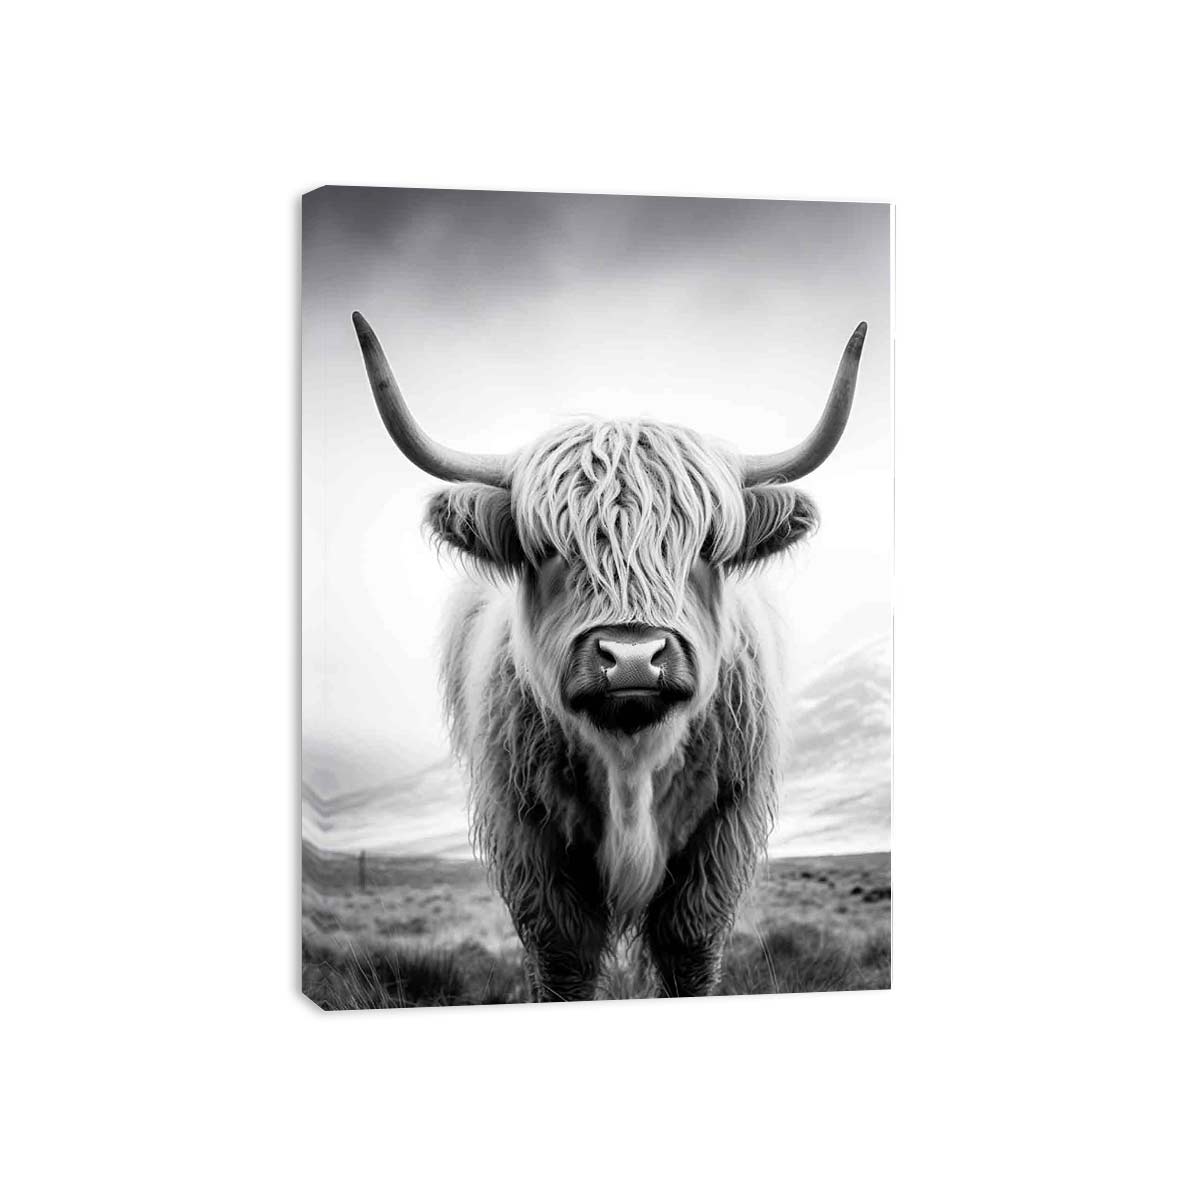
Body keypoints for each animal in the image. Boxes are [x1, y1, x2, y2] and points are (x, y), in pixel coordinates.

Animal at [352, 311, 866, 1000]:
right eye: (547, 547)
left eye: (706, 544)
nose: (632, 658)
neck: (631, 760)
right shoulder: (529, 838)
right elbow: (562, 959)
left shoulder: (719, 836)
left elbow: (688, 951)